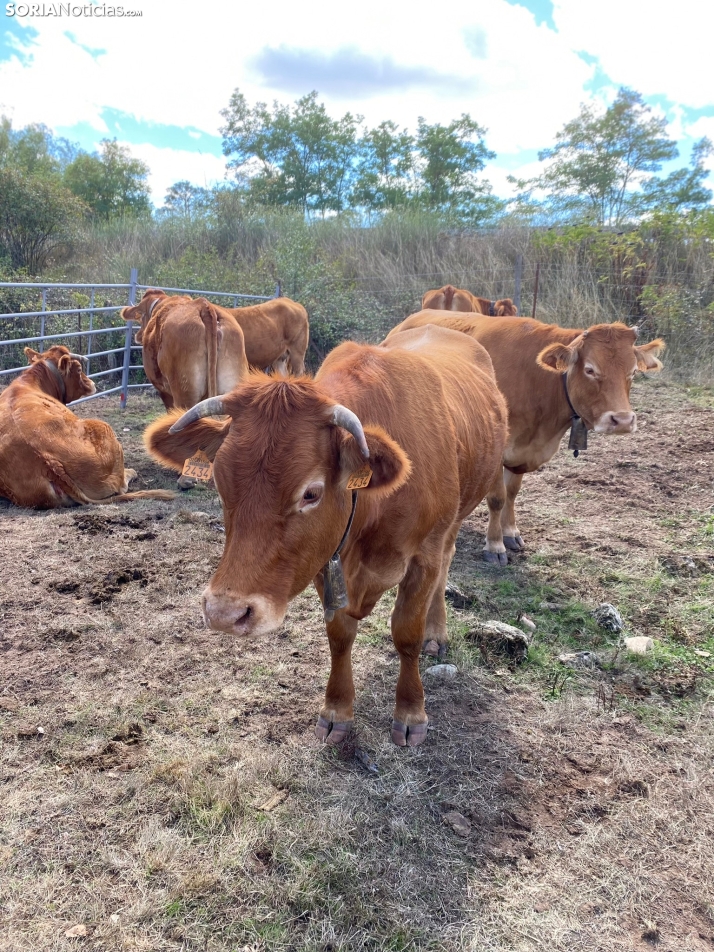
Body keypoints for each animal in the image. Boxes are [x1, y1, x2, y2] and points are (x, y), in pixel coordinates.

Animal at [0, 342, 175, 506]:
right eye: (78, 369)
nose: (92, 383)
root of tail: (46, 458)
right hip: (103, 427)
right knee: (120, 486)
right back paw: (131, 472)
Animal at [143, 324, 506, 748]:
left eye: (311, 493)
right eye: (218, 482)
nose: (224, 614)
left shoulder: (423, 556)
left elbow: (407, 634)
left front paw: (411, 711)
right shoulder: (323, 561)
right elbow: (339, 635)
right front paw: (337, 711)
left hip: (454, 521)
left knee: (446, 565)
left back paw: (437, 632)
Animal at [384, 312, 660, 564]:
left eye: (633, 372)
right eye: (590, 369)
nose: (622, 420)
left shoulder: (524, 452)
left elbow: (512, 492)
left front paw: (510, 532)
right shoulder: (498, 450)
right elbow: (497, 498)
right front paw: (495, 545)